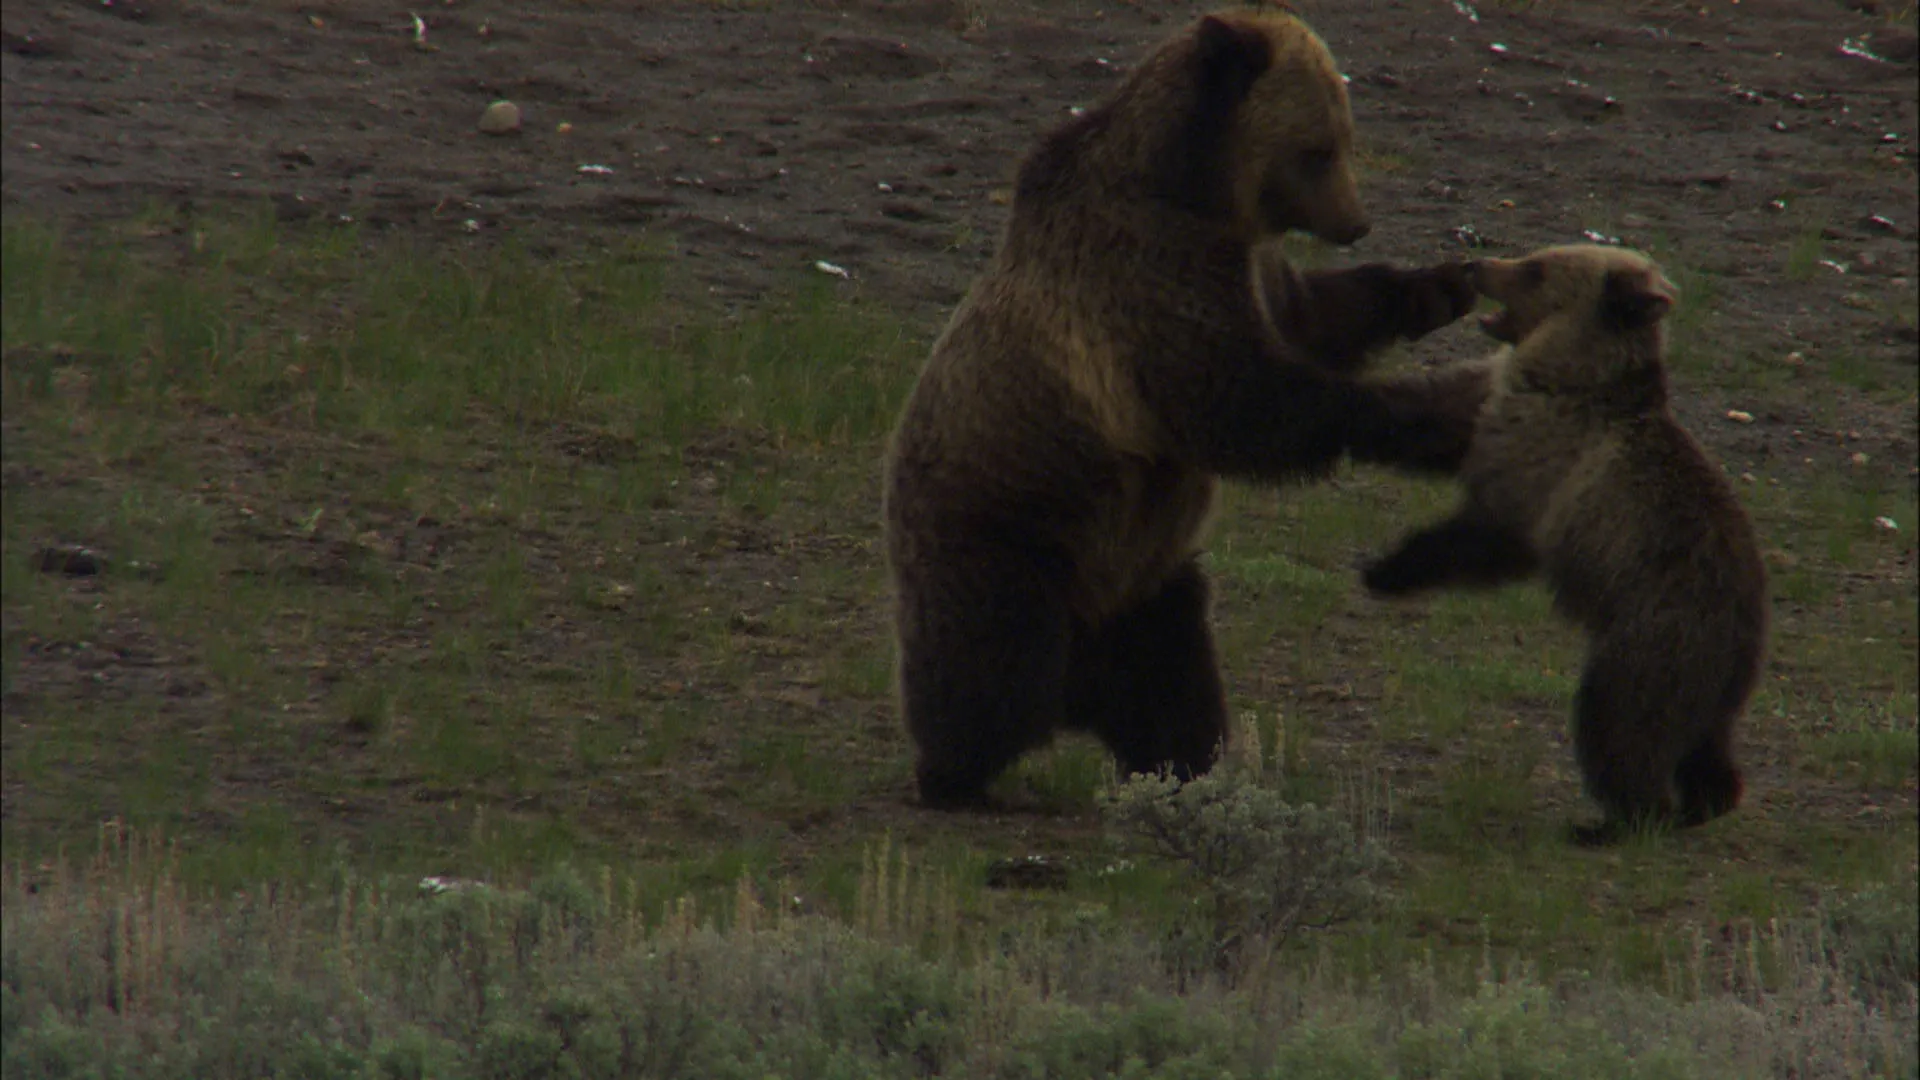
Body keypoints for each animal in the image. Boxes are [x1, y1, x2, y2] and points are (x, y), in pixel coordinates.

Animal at [882, 8, 1495, 809]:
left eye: (1345, 137)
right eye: (1318, 149)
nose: (1356, 221)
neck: (1200, 190)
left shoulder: (1253, 269)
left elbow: (1318, 316)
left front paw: (1440, 285)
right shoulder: (1147, 277)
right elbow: (1239, 401)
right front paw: (1439, 412)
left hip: (1146, 585)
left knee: (1171, 685)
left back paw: (1181, 768)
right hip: (1007, 530)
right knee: (991, 667)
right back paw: (955, 774)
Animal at [1360, 243, 1770, 846]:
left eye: (1536, 268)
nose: (1475, 264)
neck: (1563, 370)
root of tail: (1745, 628)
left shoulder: (1547, 465)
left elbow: (1488, 536)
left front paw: (1386, 569)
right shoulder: (1497, 403)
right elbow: (1437, 417)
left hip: (1653, 641)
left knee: (1619, 723)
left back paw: (1616, 821)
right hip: (1713, 685)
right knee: (1704, 745)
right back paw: (1706, 802)